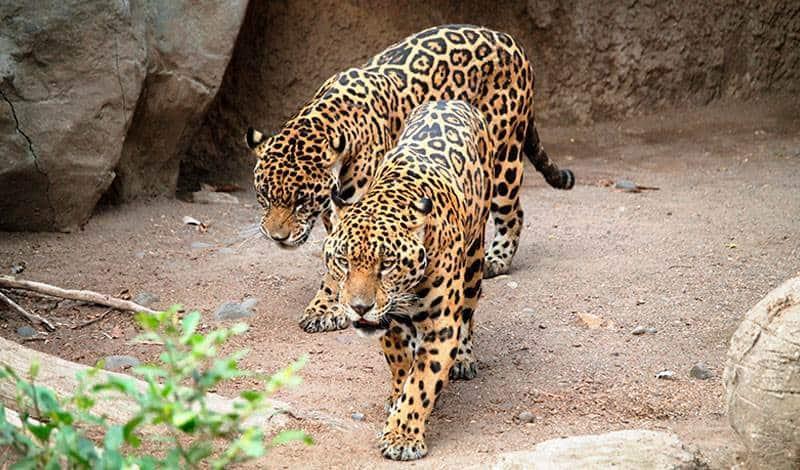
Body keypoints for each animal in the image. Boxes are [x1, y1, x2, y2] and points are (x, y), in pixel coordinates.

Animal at [245, 24, 575, 334]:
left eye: (302, 200)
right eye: (263, 195)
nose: (276, 237)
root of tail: (509, 38)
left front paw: (328, 308)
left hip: (505, 155)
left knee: (513, 212)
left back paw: (498, 258)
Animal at [323, 100, 494, 460]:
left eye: (386, 264)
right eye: (343, 260)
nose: (359, 308)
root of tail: (451, 101)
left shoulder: (441, 324)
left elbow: (422, 382)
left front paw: (402, 436)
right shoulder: (389, 322)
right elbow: (401, 366)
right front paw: (397, 397)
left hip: (474, 260)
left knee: (468, 313)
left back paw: (464, 358)